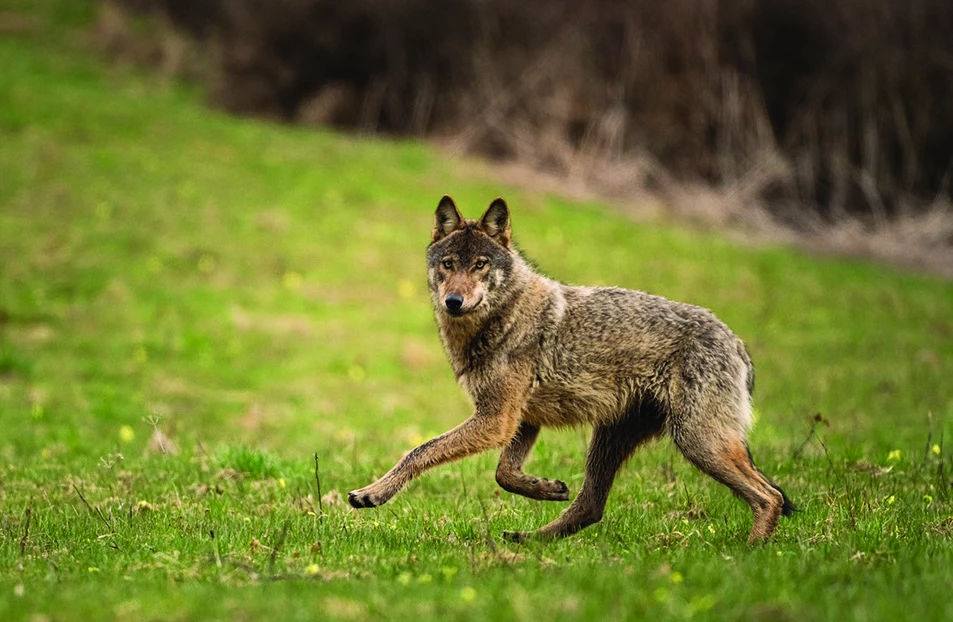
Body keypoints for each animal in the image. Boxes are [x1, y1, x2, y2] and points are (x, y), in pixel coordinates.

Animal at [346, 197, 792, 544]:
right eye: (449, 263)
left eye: (480, 265)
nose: (454, 301)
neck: (503, 318)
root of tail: (737, 343)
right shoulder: (520, 420)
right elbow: (503, 474)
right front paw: (545, 488)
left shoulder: (496, 419)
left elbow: (419, 451)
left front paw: (373, 493)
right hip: (614, 440)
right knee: (590, 506)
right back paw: (527, 540)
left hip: (697, 442)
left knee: (769, 496)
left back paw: (751, 554)